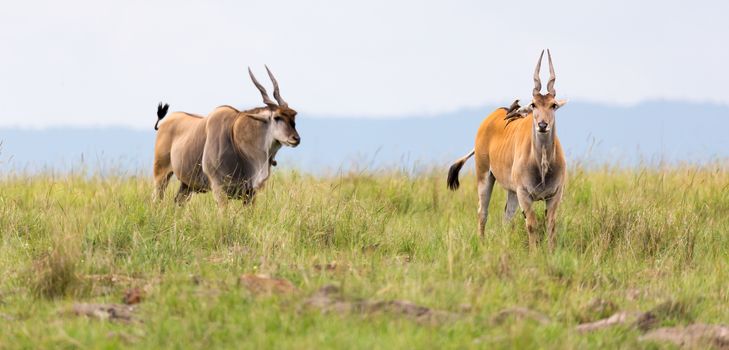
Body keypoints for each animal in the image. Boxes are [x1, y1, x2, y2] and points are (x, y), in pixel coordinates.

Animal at [152, 66, 300, 206]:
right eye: (277, 117)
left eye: (293, 116)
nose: (296, 139)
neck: (235, 138)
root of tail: (164, 122)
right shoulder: (219, 189)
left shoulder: (250, 193)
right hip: (161, 175)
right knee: (156, 200)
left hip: (186, 185)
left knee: (177, 202)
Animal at [444, 50, 568, 250]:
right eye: (533, 104)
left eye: (553, 105)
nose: (542, 125)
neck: (542, 166)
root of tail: (490, 117)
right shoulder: (524, 194)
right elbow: (532, 225)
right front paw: (534, 252)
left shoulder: (554, 195)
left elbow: (550, 225)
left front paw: (551, 251)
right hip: (484, 176)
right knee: (482, 211)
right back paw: (481, 243)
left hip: (511, 191)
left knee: (506, 217)